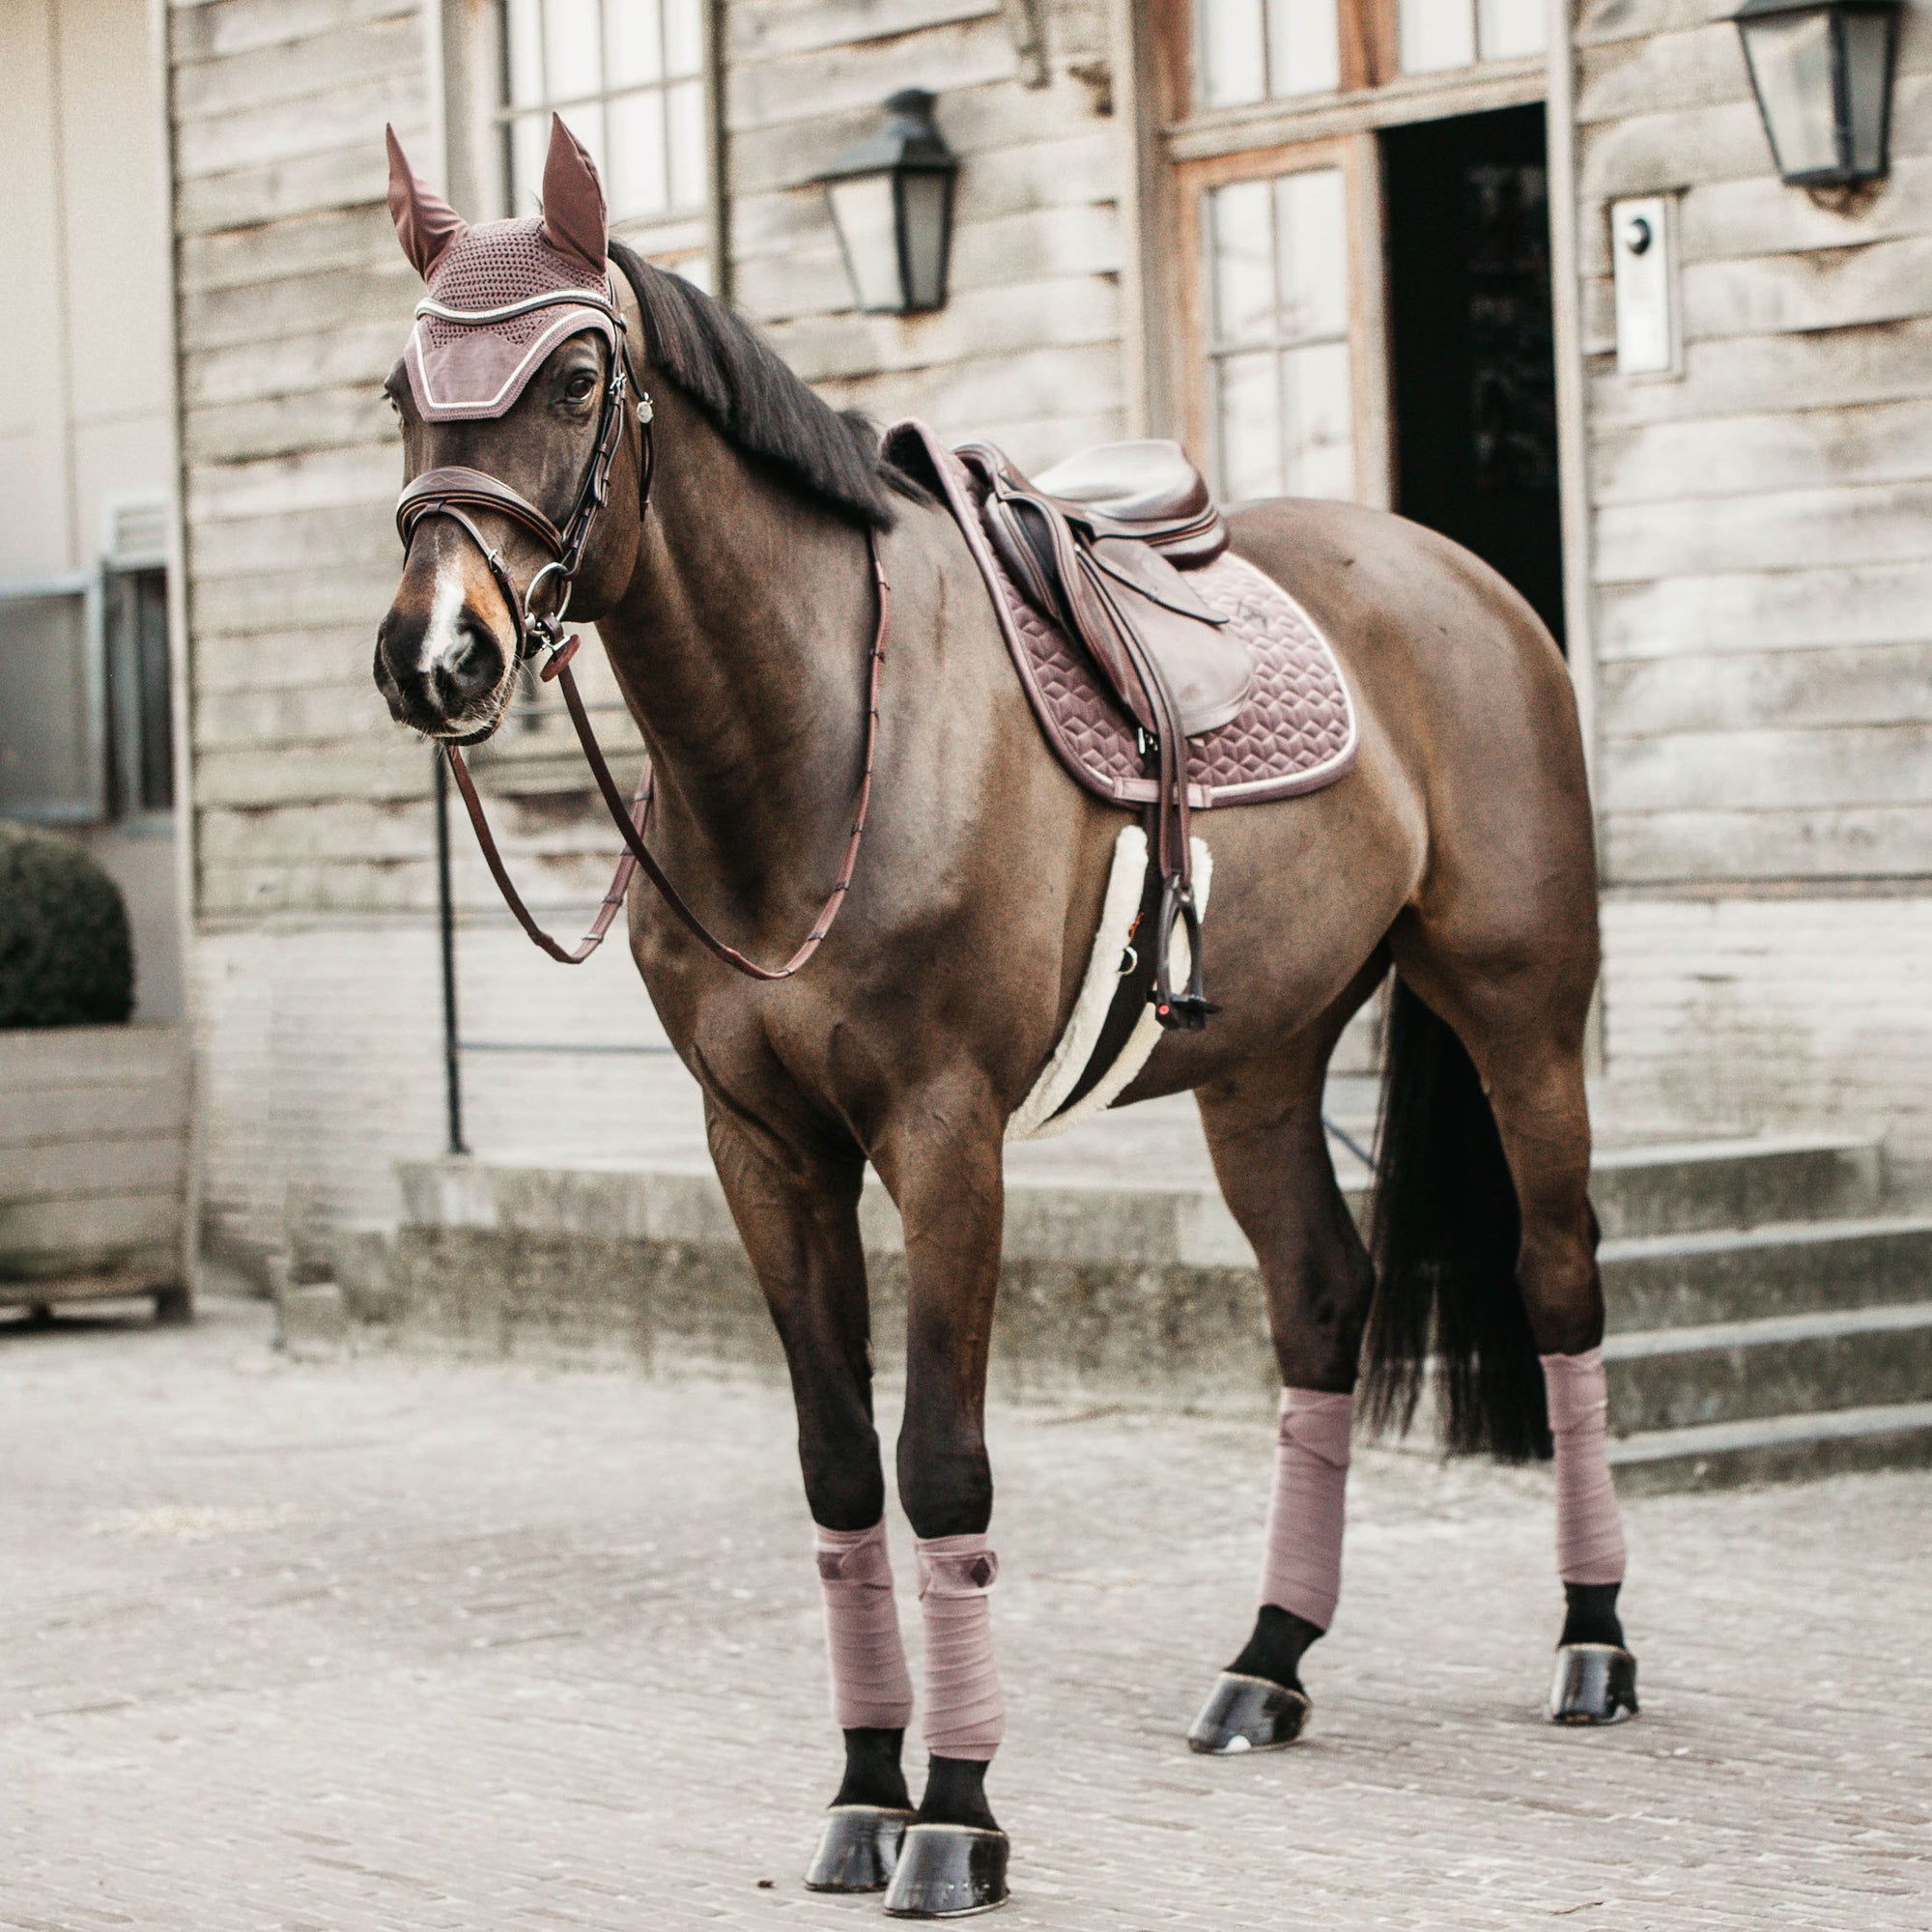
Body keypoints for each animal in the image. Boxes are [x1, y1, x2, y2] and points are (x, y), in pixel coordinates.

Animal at [373, 121, 1631, 1917]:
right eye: (400, 385)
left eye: (577, 373)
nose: (439, 655)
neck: (820, 740)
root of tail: (1462, 577)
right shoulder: (764, 1150)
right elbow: (840, 1466)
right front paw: (863, 1789)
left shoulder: (945, 1139)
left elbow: (941, 1464)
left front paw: (958, 1814)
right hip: (1258, 1066)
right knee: (1322, 1302)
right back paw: (1267, 1661)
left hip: (1519, 1014)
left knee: (1561, 1285)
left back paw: (1595, 1641)